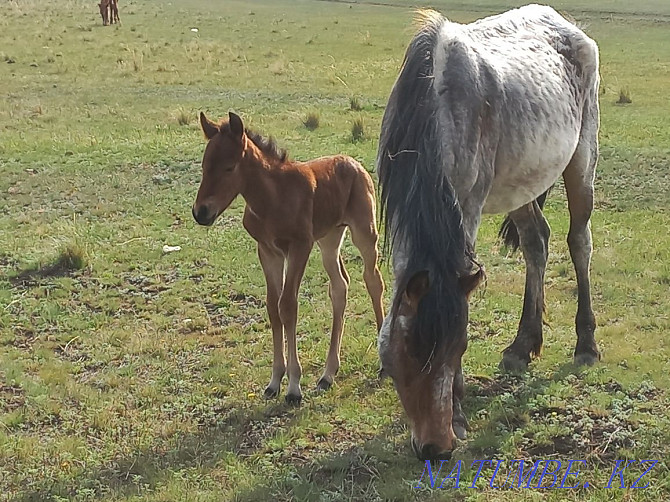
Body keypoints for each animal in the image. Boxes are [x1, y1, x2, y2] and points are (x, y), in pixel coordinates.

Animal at [192, 113, 386, 404]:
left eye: (229, 167)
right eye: (204, 166)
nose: (201, 212)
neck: (273, 198)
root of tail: (353, 163)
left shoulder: (299, 247)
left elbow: (288, 306)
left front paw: (294, 387)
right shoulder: (267, 251)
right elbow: (273, 306)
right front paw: (274, 382)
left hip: (364, 232)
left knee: (373, 280)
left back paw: (384, 362)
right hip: (329, 239)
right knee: (340, 286)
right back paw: (328, 374)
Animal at [378, 3, 604, 460]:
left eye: (457, 349)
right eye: (397, 361)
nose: (435, 448)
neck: (437, 103)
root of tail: (569, 27)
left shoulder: (468, 207)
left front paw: (459, 414)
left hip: (581, 163)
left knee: (579, 243)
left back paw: (585, 345)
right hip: (521, 185)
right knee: (537, 243)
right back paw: (522, 345)